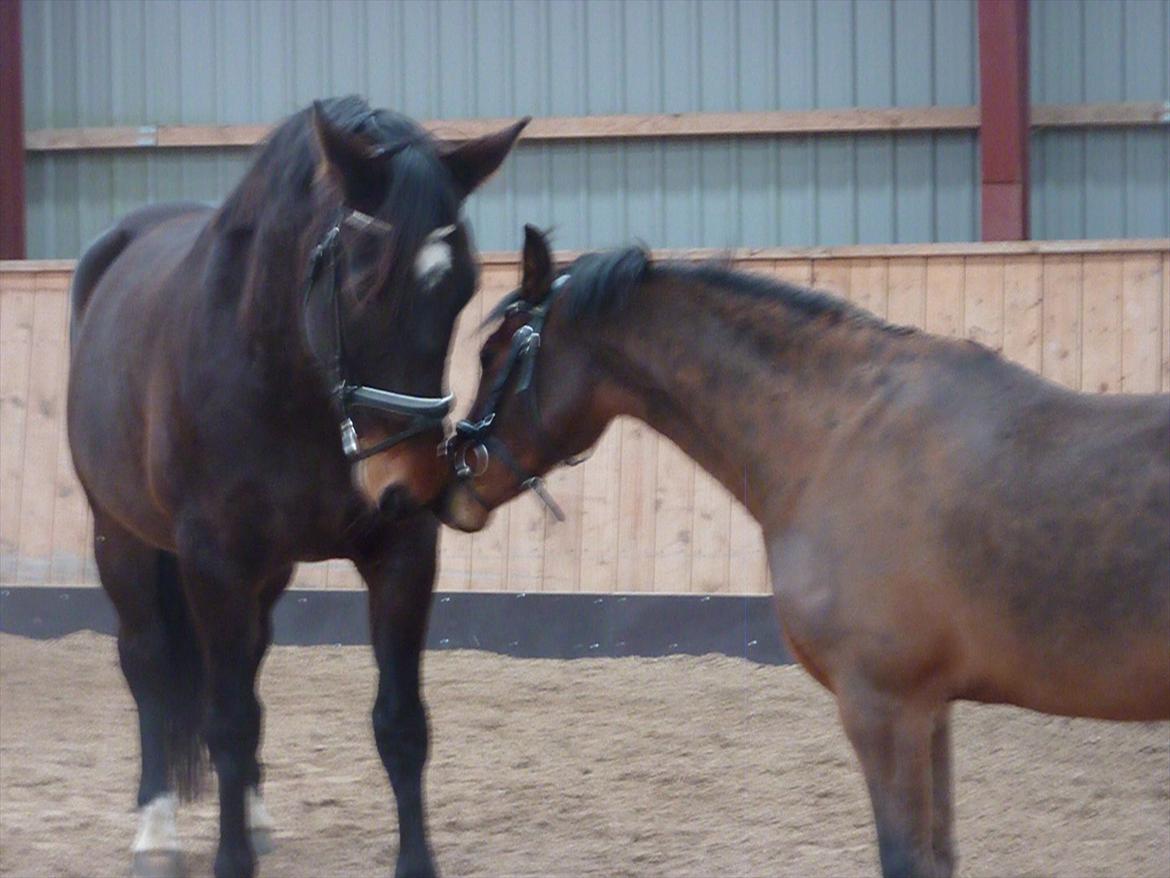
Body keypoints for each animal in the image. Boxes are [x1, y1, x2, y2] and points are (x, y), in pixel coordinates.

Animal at [66, 96, 527, 878]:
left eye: (464, 289)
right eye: (364, 285)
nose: (411, 481)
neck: (291, 384)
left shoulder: (401, 554)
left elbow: (400, 722)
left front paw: (415, 862)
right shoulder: (215, 563)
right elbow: (224, 720)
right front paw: (228, 861)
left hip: (269, 571)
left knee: (250, 663)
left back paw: (253, 817)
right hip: (119, 537)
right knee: (149, 663)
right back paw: (156, 831)